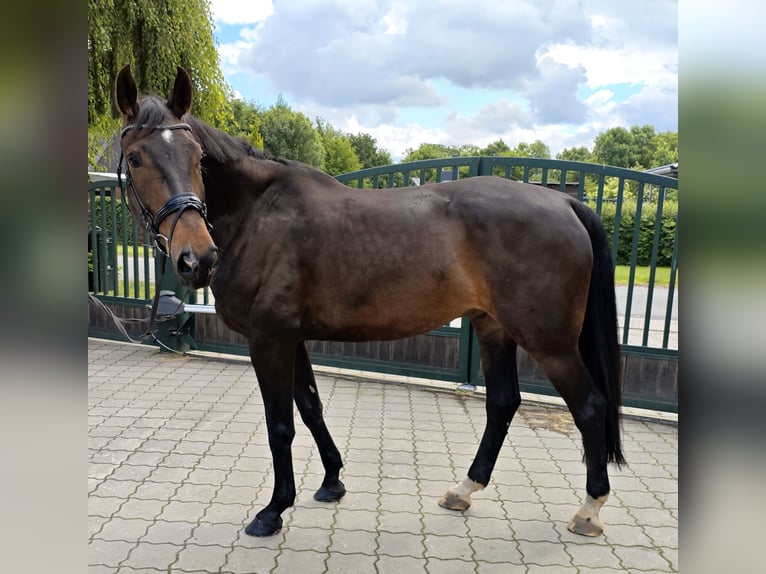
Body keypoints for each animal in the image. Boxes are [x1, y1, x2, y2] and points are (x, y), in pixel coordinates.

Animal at [114, 65, 624, 538]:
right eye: (136, 158)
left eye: (197, 157)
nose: (196, 259)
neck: (258, 215)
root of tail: (565, 204)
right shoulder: (291, 338)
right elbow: (311, 407)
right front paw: (331, 482)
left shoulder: (269, 340)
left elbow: (280, 425)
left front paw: (274, 510)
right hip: (492, 326)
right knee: (502, 403)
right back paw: (464, 489)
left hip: (550, 342)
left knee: (589, 406)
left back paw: (589, 510)